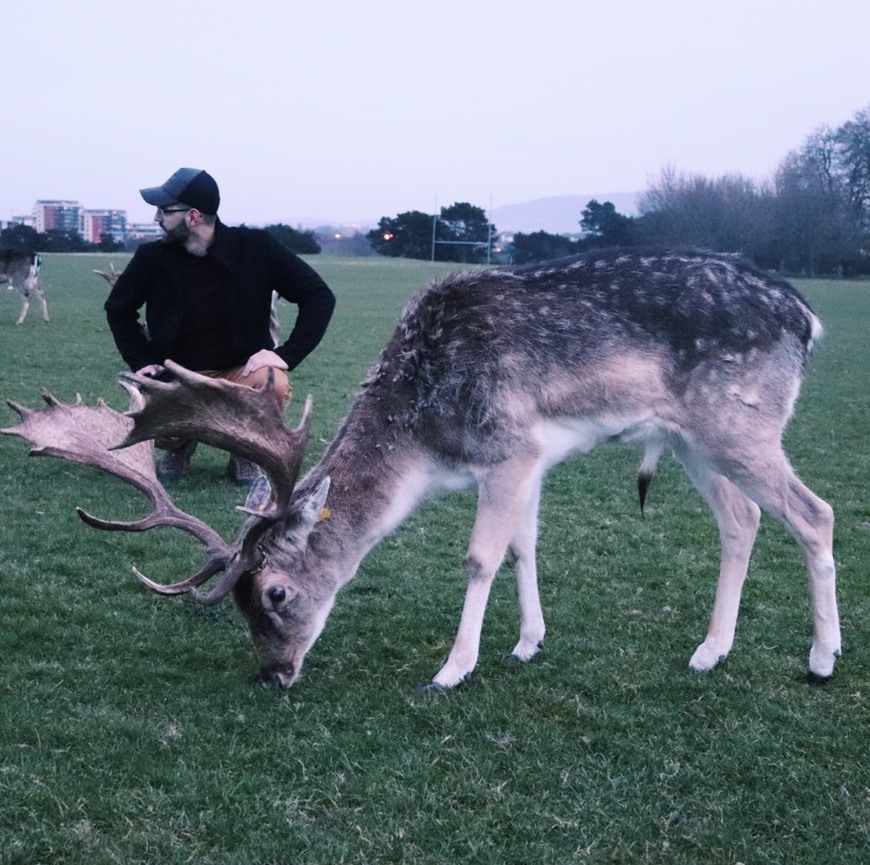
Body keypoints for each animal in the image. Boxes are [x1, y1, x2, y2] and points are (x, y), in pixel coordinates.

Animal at [3, 250, 840, 688]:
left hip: (738, 421)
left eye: (275, 591)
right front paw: (528, 641)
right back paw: (710, 649)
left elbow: (480, 556)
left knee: (815, 512)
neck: (427, 443)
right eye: (236, 600)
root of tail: (808, 318)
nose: (274, 672)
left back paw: (823, 658)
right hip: (693, 438)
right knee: (745, 517)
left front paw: (453, 667)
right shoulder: (533, 458)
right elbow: (524, 546)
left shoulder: (510, 446)